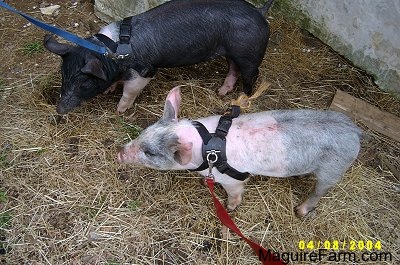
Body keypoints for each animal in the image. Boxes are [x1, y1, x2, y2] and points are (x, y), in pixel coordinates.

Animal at [44, 0, 276, 112]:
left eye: (84, 83)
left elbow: (129, 91)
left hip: (249, 53)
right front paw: (110, 90)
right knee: (233, 70)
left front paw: (119, 110)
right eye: (64, 77)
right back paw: (221, 92)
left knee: (251, 76)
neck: (112, 52)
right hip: (232, 52)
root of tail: (260, 11)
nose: (59, 109)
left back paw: (242, 99)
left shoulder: (146, 71)